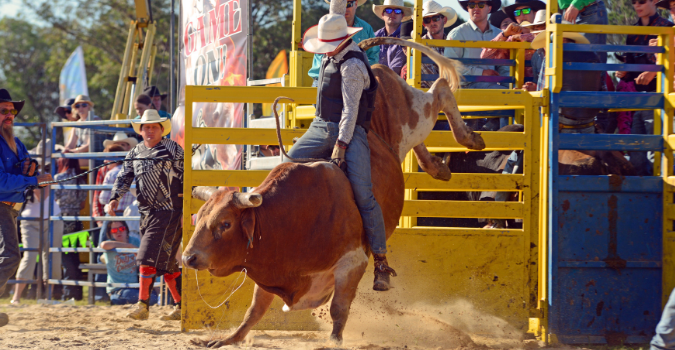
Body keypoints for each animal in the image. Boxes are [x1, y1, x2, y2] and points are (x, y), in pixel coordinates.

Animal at [182, 38, 484, 348]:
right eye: (201, 218)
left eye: (225, 224)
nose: (188, 258)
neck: (287, 220)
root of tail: (375, 66)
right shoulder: (268, 271)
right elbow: (255, 310)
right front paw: (226, 339)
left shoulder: (352, 263)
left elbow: (339, 307)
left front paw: (334, 339)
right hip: (406, 133)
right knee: (421, 137)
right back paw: (438, 167)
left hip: (414, 114)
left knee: (440, 91)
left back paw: (469, 138)